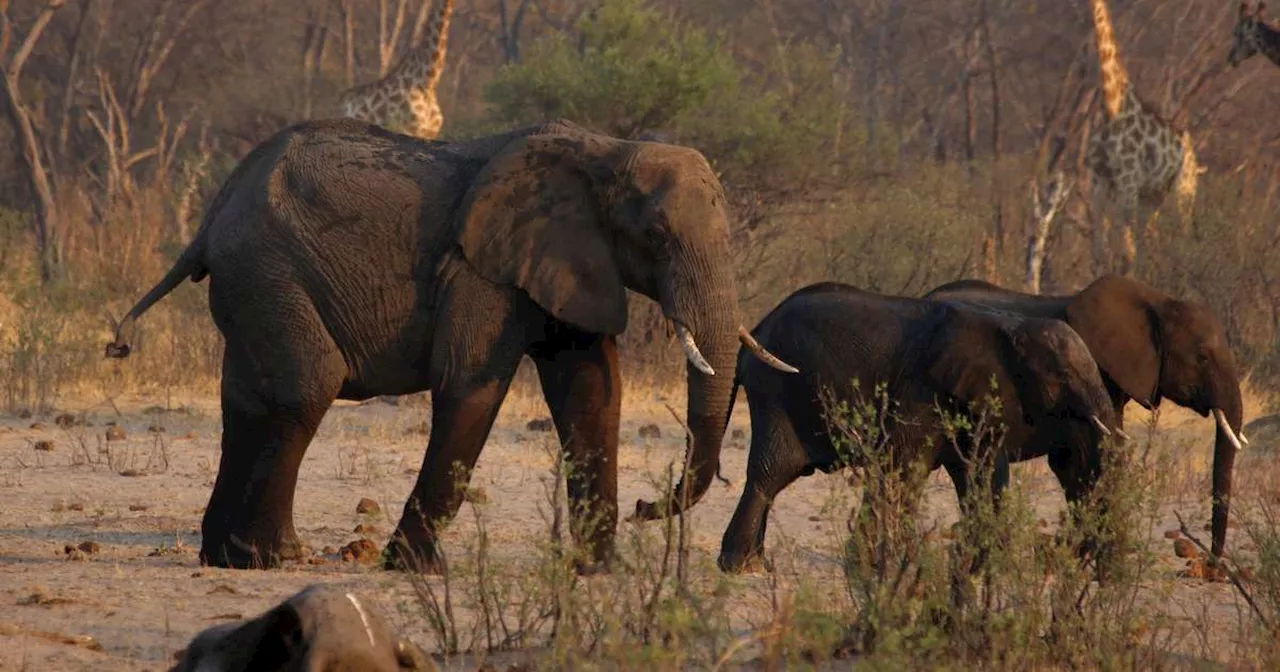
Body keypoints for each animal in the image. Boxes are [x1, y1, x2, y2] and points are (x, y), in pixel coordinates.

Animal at [104, 117, 793, 573]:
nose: (651, 507)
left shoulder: (570, 262)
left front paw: (600, 573)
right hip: (268, 270)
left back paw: (223, 557)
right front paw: (411, 569)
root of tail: (211, 217)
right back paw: (274, 559)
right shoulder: (481, 270)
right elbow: (470, 387)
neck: (607, 149)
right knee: (305, 388)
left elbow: (593, 394)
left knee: (247, 399)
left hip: (253, 283)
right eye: (655, 235)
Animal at [721, 281, 1121, 570]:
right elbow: (903, 468)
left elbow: (981, 475)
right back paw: (742, 567)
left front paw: (987, 563)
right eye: (1062, 378)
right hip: (776, 388)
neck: (1009, 326)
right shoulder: (922, 390)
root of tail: (753, 332)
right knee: (772, 471)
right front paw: (872, 565)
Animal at [1085, 0, 1203, 267]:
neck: (1112, 104)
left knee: (1182, 238)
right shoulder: (1099, 179)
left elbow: (1126, 252)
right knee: (1150, 237)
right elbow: (1100, 250)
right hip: (1153, 195)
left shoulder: (1128, 180)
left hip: (1184, 190)